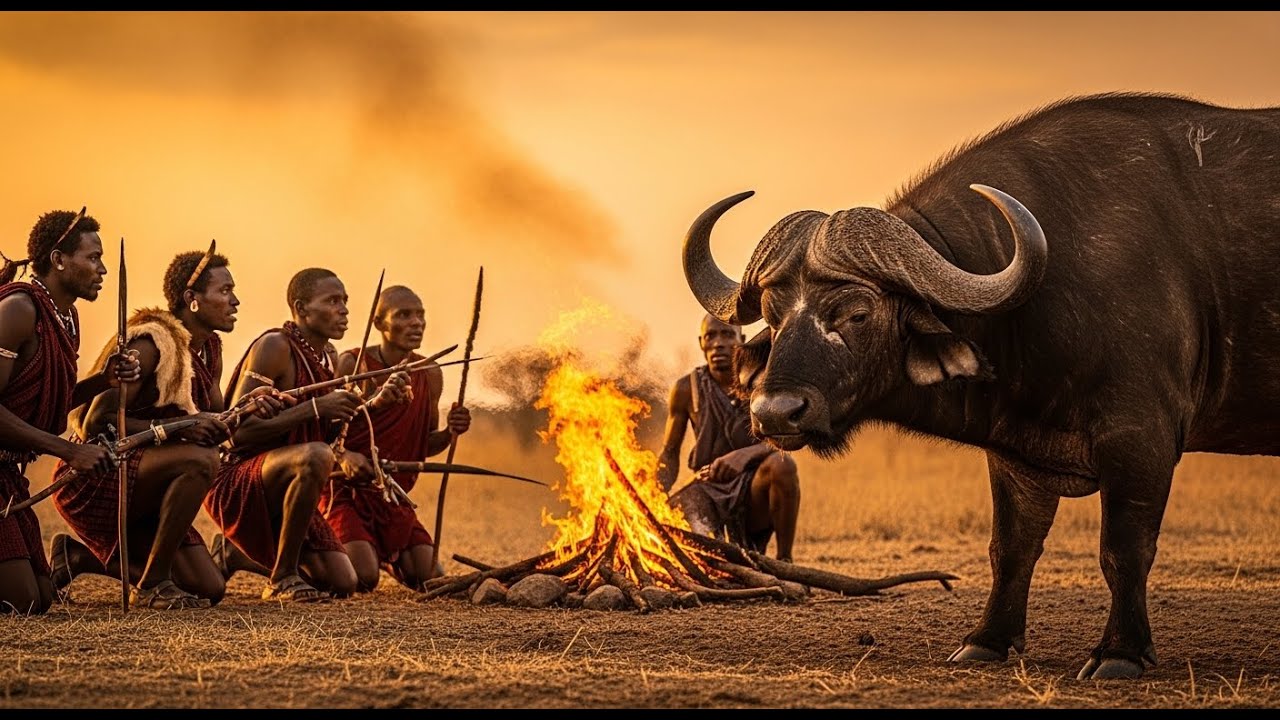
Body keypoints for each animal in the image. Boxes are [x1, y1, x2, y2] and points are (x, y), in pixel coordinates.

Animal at [681, 92, 1280, 679]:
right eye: (774, 315)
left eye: (855, 313)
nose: (775, 412)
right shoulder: (1016, 453)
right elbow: (1010, 547)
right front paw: (987, 640)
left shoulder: (1141, 440)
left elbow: (1124, 550)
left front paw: (1121, 652)